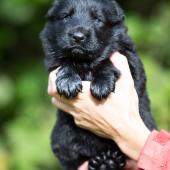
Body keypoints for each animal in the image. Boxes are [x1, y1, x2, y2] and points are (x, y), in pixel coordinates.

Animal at [40, 0, 157, 169]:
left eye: (98, 19)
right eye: (66, 16)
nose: (78, 37)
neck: (84, 61)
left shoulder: (129, 58)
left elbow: (106, 60)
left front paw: (101, 84)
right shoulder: (53, 59)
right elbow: (65, 61)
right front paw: (68, 81)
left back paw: (108, 160)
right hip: (62, 136)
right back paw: (103, 161)